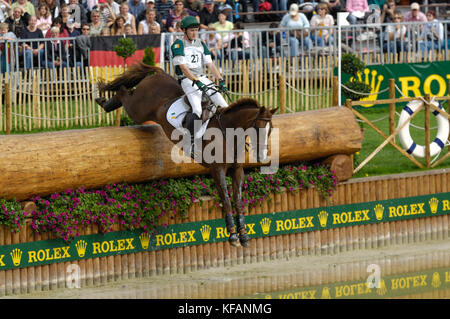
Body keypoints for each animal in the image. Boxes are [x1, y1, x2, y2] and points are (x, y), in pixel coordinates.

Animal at [95, 62, 278, 248]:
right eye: (258, 128)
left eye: (270, 130)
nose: (263, 156)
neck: (228, 132)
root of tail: (160, 74)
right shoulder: (217, 170)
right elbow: (226, 199)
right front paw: (233, 235)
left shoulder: (237, 170)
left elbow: (238, 199)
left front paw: (243, 235)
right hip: (139, 109)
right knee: (124, 92)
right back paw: (103, 99)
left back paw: (104, 102)